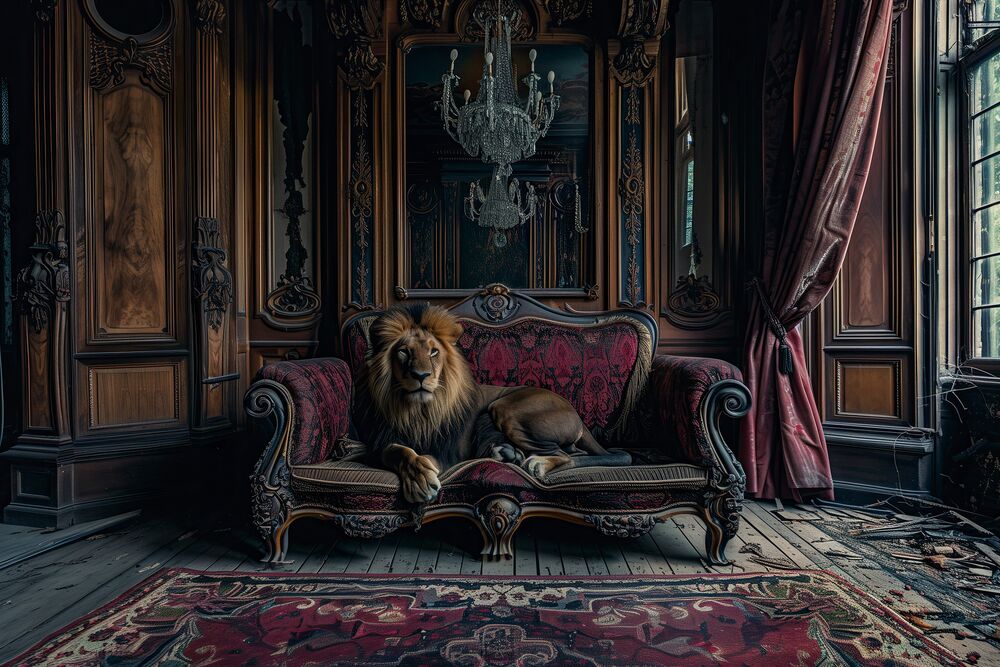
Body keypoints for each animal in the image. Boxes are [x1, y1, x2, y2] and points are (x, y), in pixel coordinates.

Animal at [352, 303, 632, 504]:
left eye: (433, 351)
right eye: (404, 351)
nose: (421, 376)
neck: (416, 410)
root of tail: (578, 416)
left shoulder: (447, 454)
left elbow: (423, 456)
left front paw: (421, 477)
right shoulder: (380, 443)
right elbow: (397, 451)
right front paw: (417, 474)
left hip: (504, 408)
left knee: (566, 455)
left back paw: (536, 463)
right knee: (575, 453)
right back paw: (508, 453)